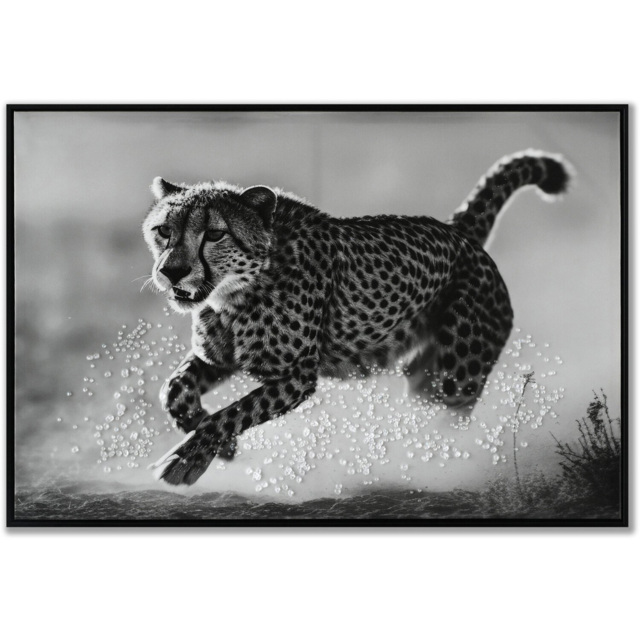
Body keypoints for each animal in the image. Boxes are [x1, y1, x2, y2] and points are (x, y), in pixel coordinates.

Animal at [143, 149, 572, 486]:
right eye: (163, 231)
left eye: (215, 234)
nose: (172, 271)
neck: (233, 294)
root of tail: (456, 231)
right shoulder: (219, 358)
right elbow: (173, 390)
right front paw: (222, 447)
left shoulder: (297, 377)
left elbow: (229, 414)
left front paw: (188, 458)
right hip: (425, 380)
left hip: (458, 379)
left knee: (454, 424)